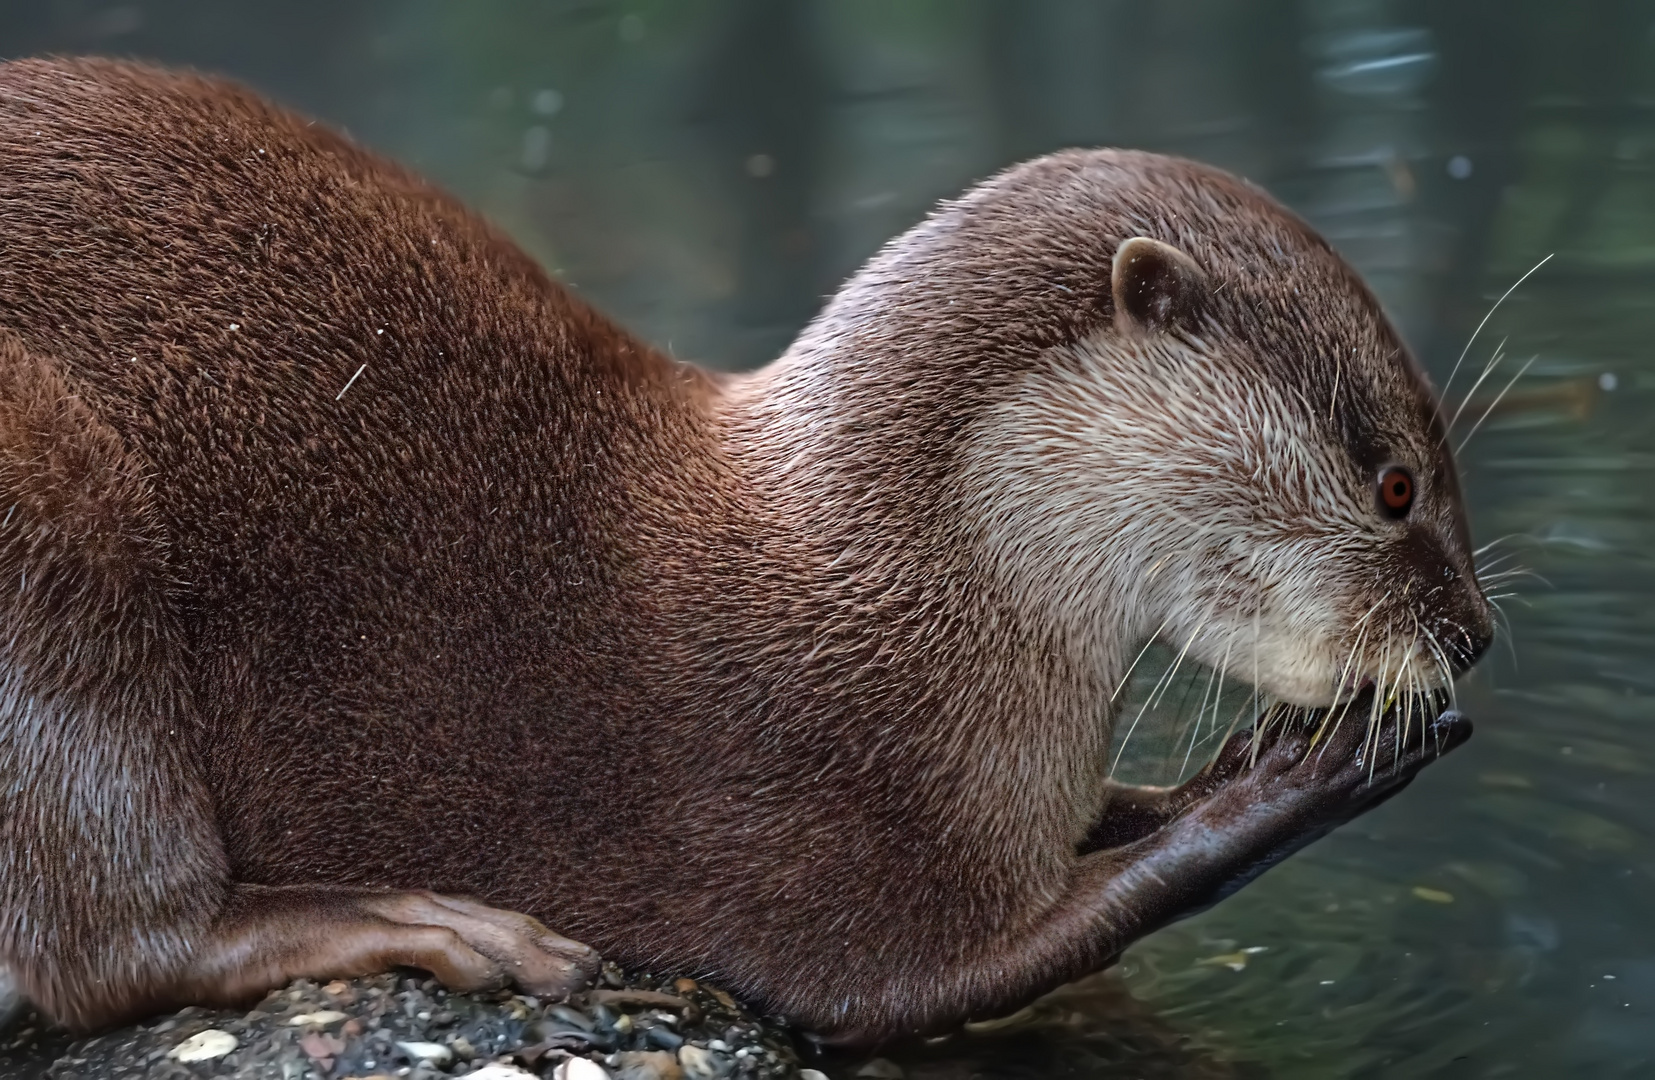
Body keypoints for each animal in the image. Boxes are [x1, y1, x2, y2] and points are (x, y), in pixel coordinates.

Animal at [0, 57, 1489, 1038]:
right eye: (1393, 486)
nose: (1472, 636)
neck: (902, 593)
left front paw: (1229, 765)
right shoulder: (816, 831)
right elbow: (919, 979)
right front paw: (1283, 786)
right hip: (53, 501)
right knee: (107, 945)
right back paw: (422, 923)